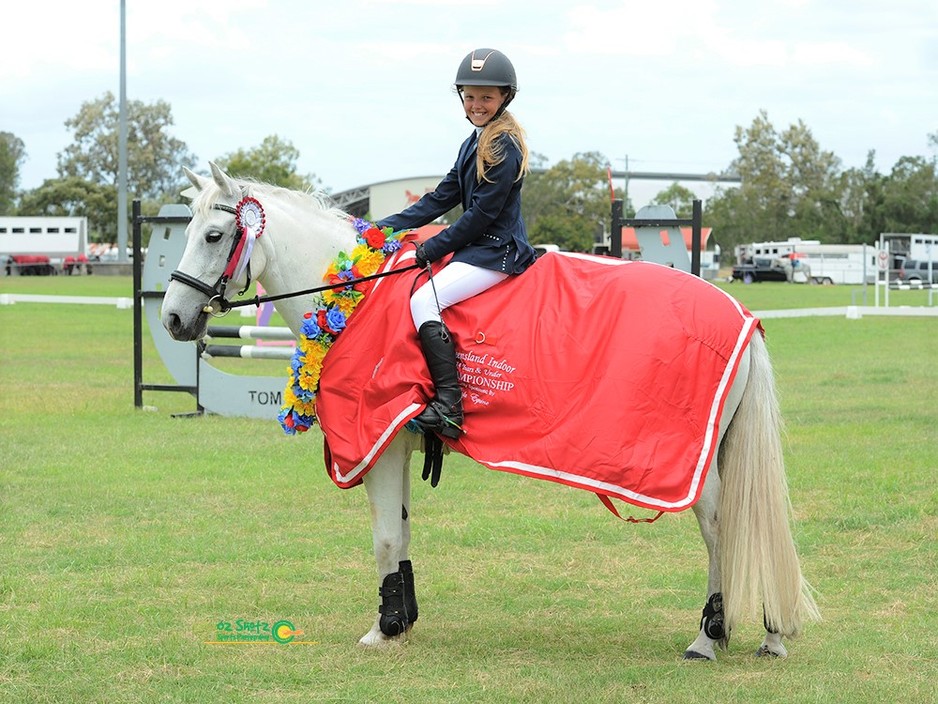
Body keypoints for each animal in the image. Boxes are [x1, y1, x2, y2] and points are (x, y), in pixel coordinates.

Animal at [163, 165, 820, 660]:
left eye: (214, 236)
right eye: (186, 230)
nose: (171, 318)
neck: (357, 293)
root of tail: (742, 314)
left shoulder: (377, 438)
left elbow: (383, 535)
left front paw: (382, 629)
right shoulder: (399, 442)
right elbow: (403, 529)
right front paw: (403, 617)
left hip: (692, 463)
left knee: (721, 528)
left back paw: (711, 636)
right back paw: (760, 631)